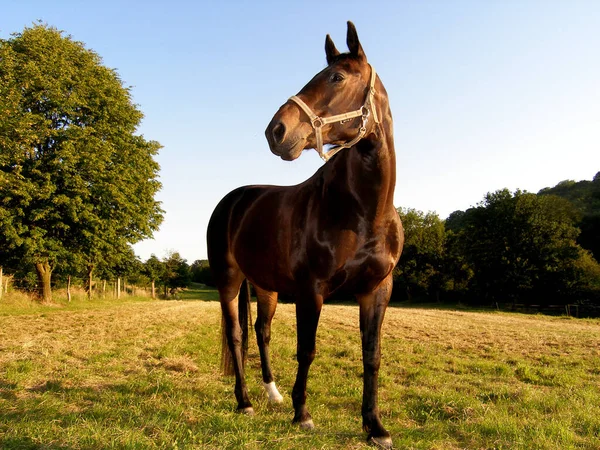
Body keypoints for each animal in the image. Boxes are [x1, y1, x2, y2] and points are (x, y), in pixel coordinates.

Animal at [206, 21, 404, 446]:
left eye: (336, 77)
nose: (276, 131)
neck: (363, 211)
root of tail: (233, 200)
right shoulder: (312, 289)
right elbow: (307, 350)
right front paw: (303, 414)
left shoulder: (377, 289)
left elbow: (372, 355)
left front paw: (374, 426)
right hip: (228, 280)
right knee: (235, 334)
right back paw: (245, 402)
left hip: (265, 287)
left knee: (260, 332)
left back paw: (273, 394)